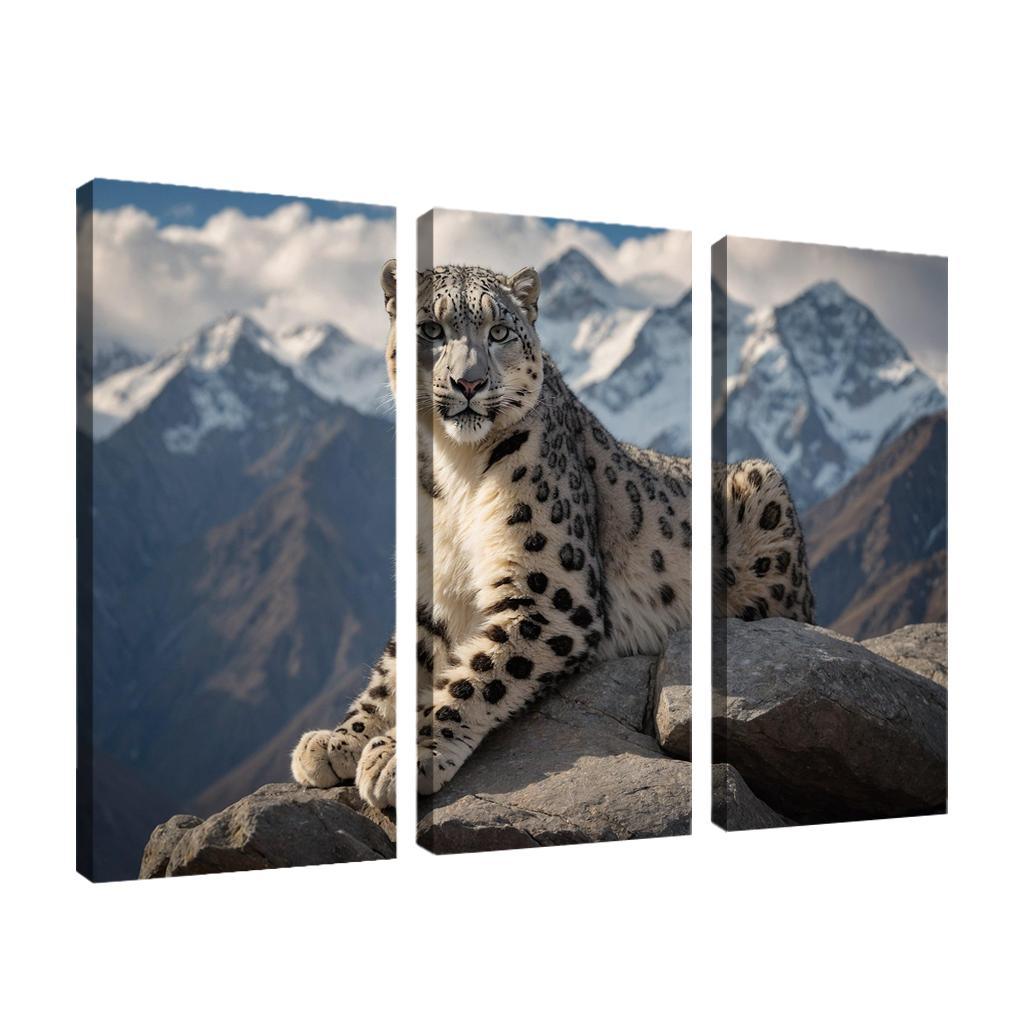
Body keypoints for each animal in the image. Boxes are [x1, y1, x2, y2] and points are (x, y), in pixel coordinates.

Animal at [291, 259, 815, 809]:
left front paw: (396, 757)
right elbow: (395, 670)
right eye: (429, 330)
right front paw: (338, 740)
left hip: (761, 491)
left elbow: (476, 675)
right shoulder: (431, 588)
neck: (453, 469)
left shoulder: (550, 594)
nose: (469, 382)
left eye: (499, 331)